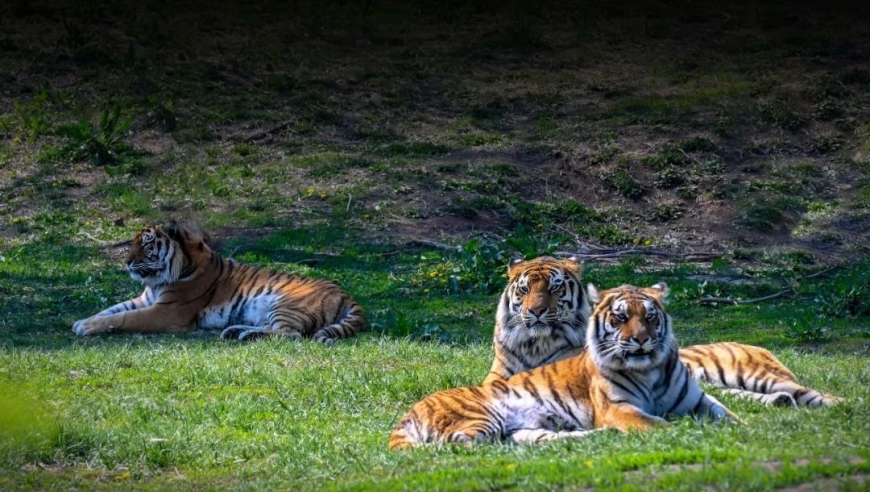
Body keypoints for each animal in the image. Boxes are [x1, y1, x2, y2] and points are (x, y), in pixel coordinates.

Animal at [70, 221, 364, 344]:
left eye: (146, 244)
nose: (127, 262)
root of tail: (348, 295)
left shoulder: (166, 312)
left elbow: (123, 318)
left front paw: (85, 326)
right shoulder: (144, 299)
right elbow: (111, 310)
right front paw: (82, 321)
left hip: (287, 305)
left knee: (290, 334)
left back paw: (245, 335)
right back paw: (236, 331)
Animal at [392, 280, 740, 450]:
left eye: (650, 317)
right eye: (621, 318)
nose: (641, 340)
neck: (650, 370)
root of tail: (411, 410)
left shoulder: (700, 402)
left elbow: (733, 419)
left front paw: (749, 435)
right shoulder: (618, 409)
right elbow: (659, 424)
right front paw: (685, 434)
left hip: (520, 431)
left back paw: (594, 437)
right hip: (481, 418)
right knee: (458, 445)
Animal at [484, 254, 844, 408]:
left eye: (555, 288)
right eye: (525, 289)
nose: (536, 311)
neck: (537, 343)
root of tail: (760, 346)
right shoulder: (498, 376)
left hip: (755, 375)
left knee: (808, 392)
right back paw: (780, 403)